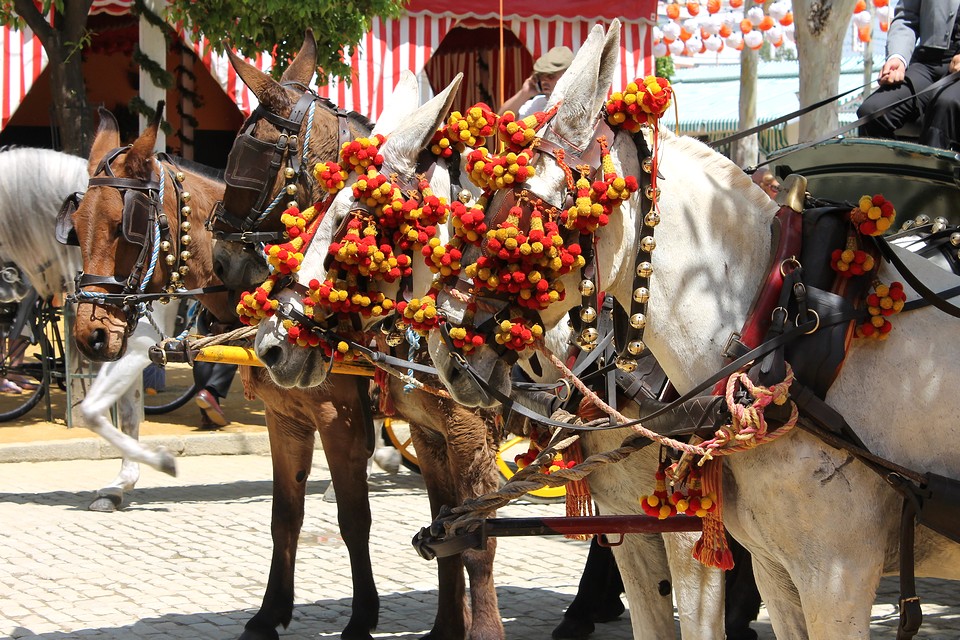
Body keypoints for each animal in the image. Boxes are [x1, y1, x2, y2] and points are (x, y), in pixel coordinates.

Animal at [0, 145, 176, 510]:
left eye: (121, 228)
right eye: (76, 230)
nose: (13, 288)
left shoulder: (139, 344)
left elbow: (96, 411)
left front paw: (160, 461)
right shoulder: (119, 342)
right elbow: (125, 412)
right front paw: (122, 481)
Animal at [251, 62, 724, 636]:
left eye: (349, 222)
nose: (270, 345)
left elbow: (478, 542)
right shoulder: (430, 436)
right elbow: (448, 532)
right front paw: (446, 627)